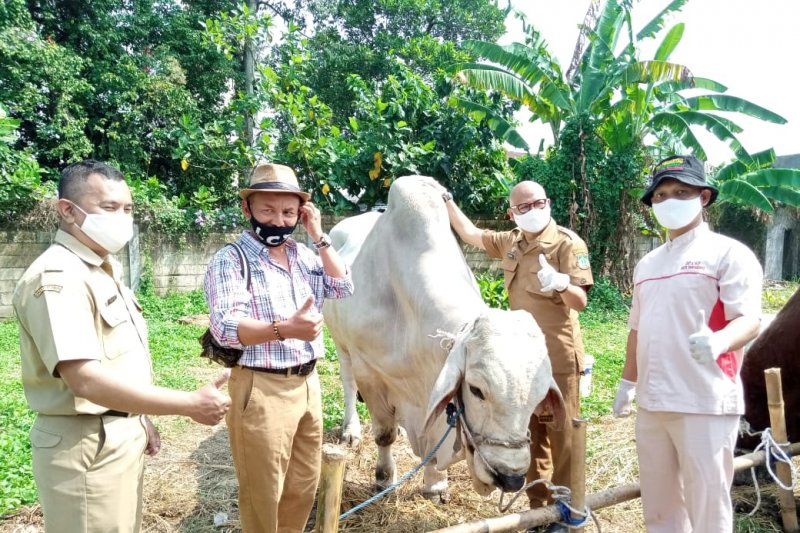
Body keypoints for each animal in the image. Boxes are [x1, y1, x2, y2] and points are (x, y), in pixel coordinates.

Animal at [322, 175, 564, 498]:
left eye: (538, 399)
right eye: (476, 390)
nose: (510, 478)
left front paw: (435, 483)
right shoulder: (369, 373)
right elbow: (384, 434)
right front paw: (383, 477)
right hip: (341, 344)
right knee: (348, 382)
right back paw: (351, 430)